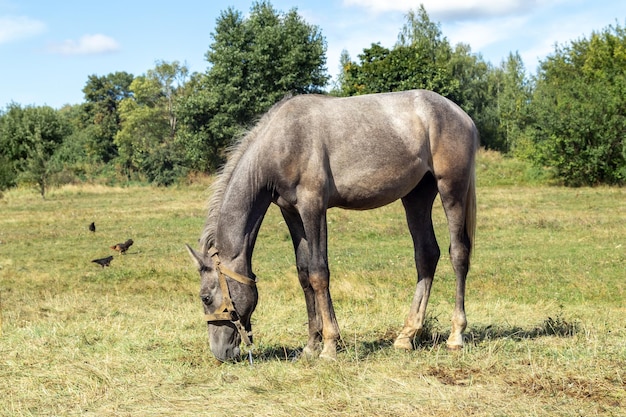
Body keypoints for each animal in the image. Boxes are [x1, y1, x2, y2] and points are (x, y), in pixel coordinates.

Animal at [186, 88, 478, 360]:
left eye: (205, 297)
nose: (220, 352)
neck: (281, 142)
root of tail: (461, 115)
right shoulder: (291, 212)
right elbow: (304, 273)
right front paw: (311, 346)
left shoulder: (313, 207)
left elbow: (319, 273)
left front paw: (328, 346)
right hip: (417, 196)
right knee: (426, 255)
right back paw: (407, 335)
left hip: (452, 189)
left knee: (458, 254)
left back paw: (455, 336)